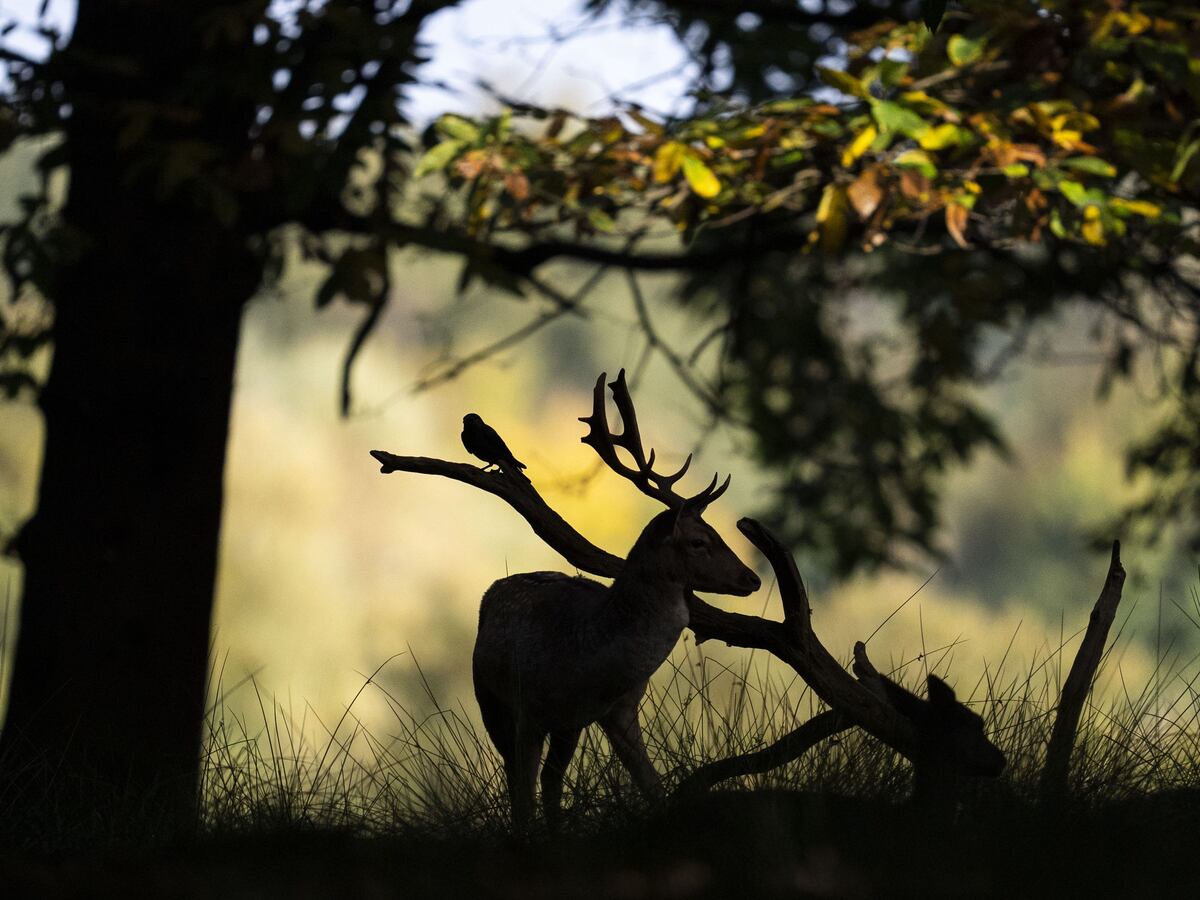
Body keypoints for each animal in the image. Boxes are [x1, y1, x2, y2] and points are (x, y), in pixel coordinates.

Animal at [468, 369, 758, 830]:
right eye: (698, 540)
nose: (752, 578)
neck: (589, 666)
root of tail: (494, 587)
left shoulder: (618, 710)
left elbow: (652, 786)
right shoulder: (529, 709)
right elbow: (522, 797)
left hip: (565, 727)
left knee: (551, 780)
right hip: (488, 697)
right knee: (520, 778)